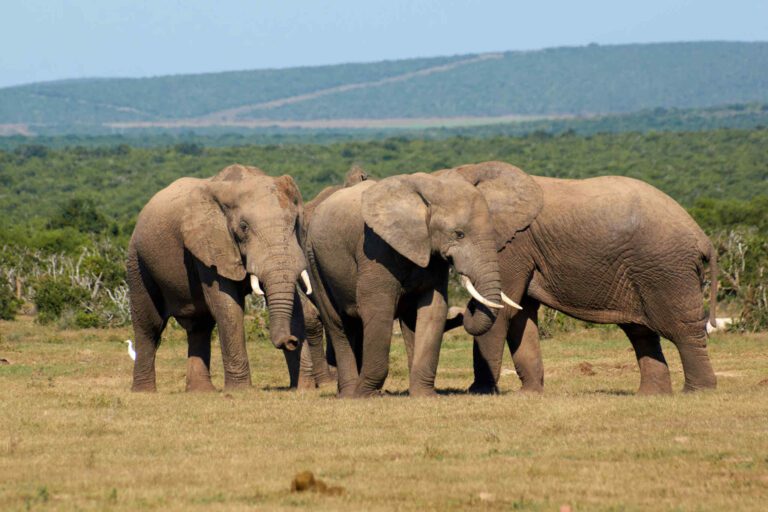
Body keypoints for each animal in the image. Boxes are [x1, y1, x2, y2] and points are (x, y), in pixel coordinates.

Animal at [127, 164, 313, 392]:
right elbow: (227, 307)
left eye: (295, 223)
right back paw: (144, 392)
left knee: (200, 327)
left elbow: (295, 306)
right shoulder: (209, 246)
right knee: (149, 325)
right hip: (137, 262)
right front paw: (241, 391)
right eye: (243, 227)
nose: (292, 340)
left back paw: (201, 392)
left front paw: (303, 389)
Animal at [305, 172, 522, 398]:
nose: (467, 309)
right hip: (314, 260)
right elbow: (378, 308)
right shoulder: (374, 248)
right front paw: (365, 395)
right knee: (337, 323)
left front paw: (425, 396)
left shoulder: (432, 254)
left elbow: (434, 309)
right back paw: (350, 393)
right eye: (458, 234)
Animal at [435, 161, 718, 395]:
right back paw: (651, 395)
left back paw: (696, 392)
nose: (460, 312)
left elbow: (503, 311)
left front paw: (479, 392)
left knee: (681, 328)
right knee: (641, 332)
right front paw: (528, 394)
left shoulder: (510, 244)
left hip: (667, 269)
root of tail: (702, 237)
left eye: (457, 233)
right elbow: (521, 314)